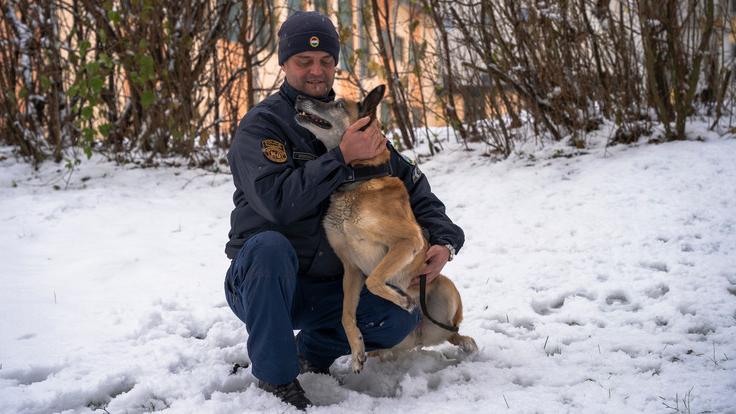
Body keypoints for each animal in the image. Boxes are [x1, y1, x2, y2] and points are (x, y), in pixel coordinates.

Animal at [296, 85, 480, 374]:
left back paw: (465, 343)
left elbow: (374, 280)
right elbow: (346, 315)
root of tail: (418, 339)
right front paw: (357, 351)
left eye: (337, 104)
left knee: (454, 332)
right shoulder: (350, 267)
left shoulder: (406, 241)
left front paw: (402, 300)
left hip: (445, 288)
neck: (355, 179)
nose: (299, 97)